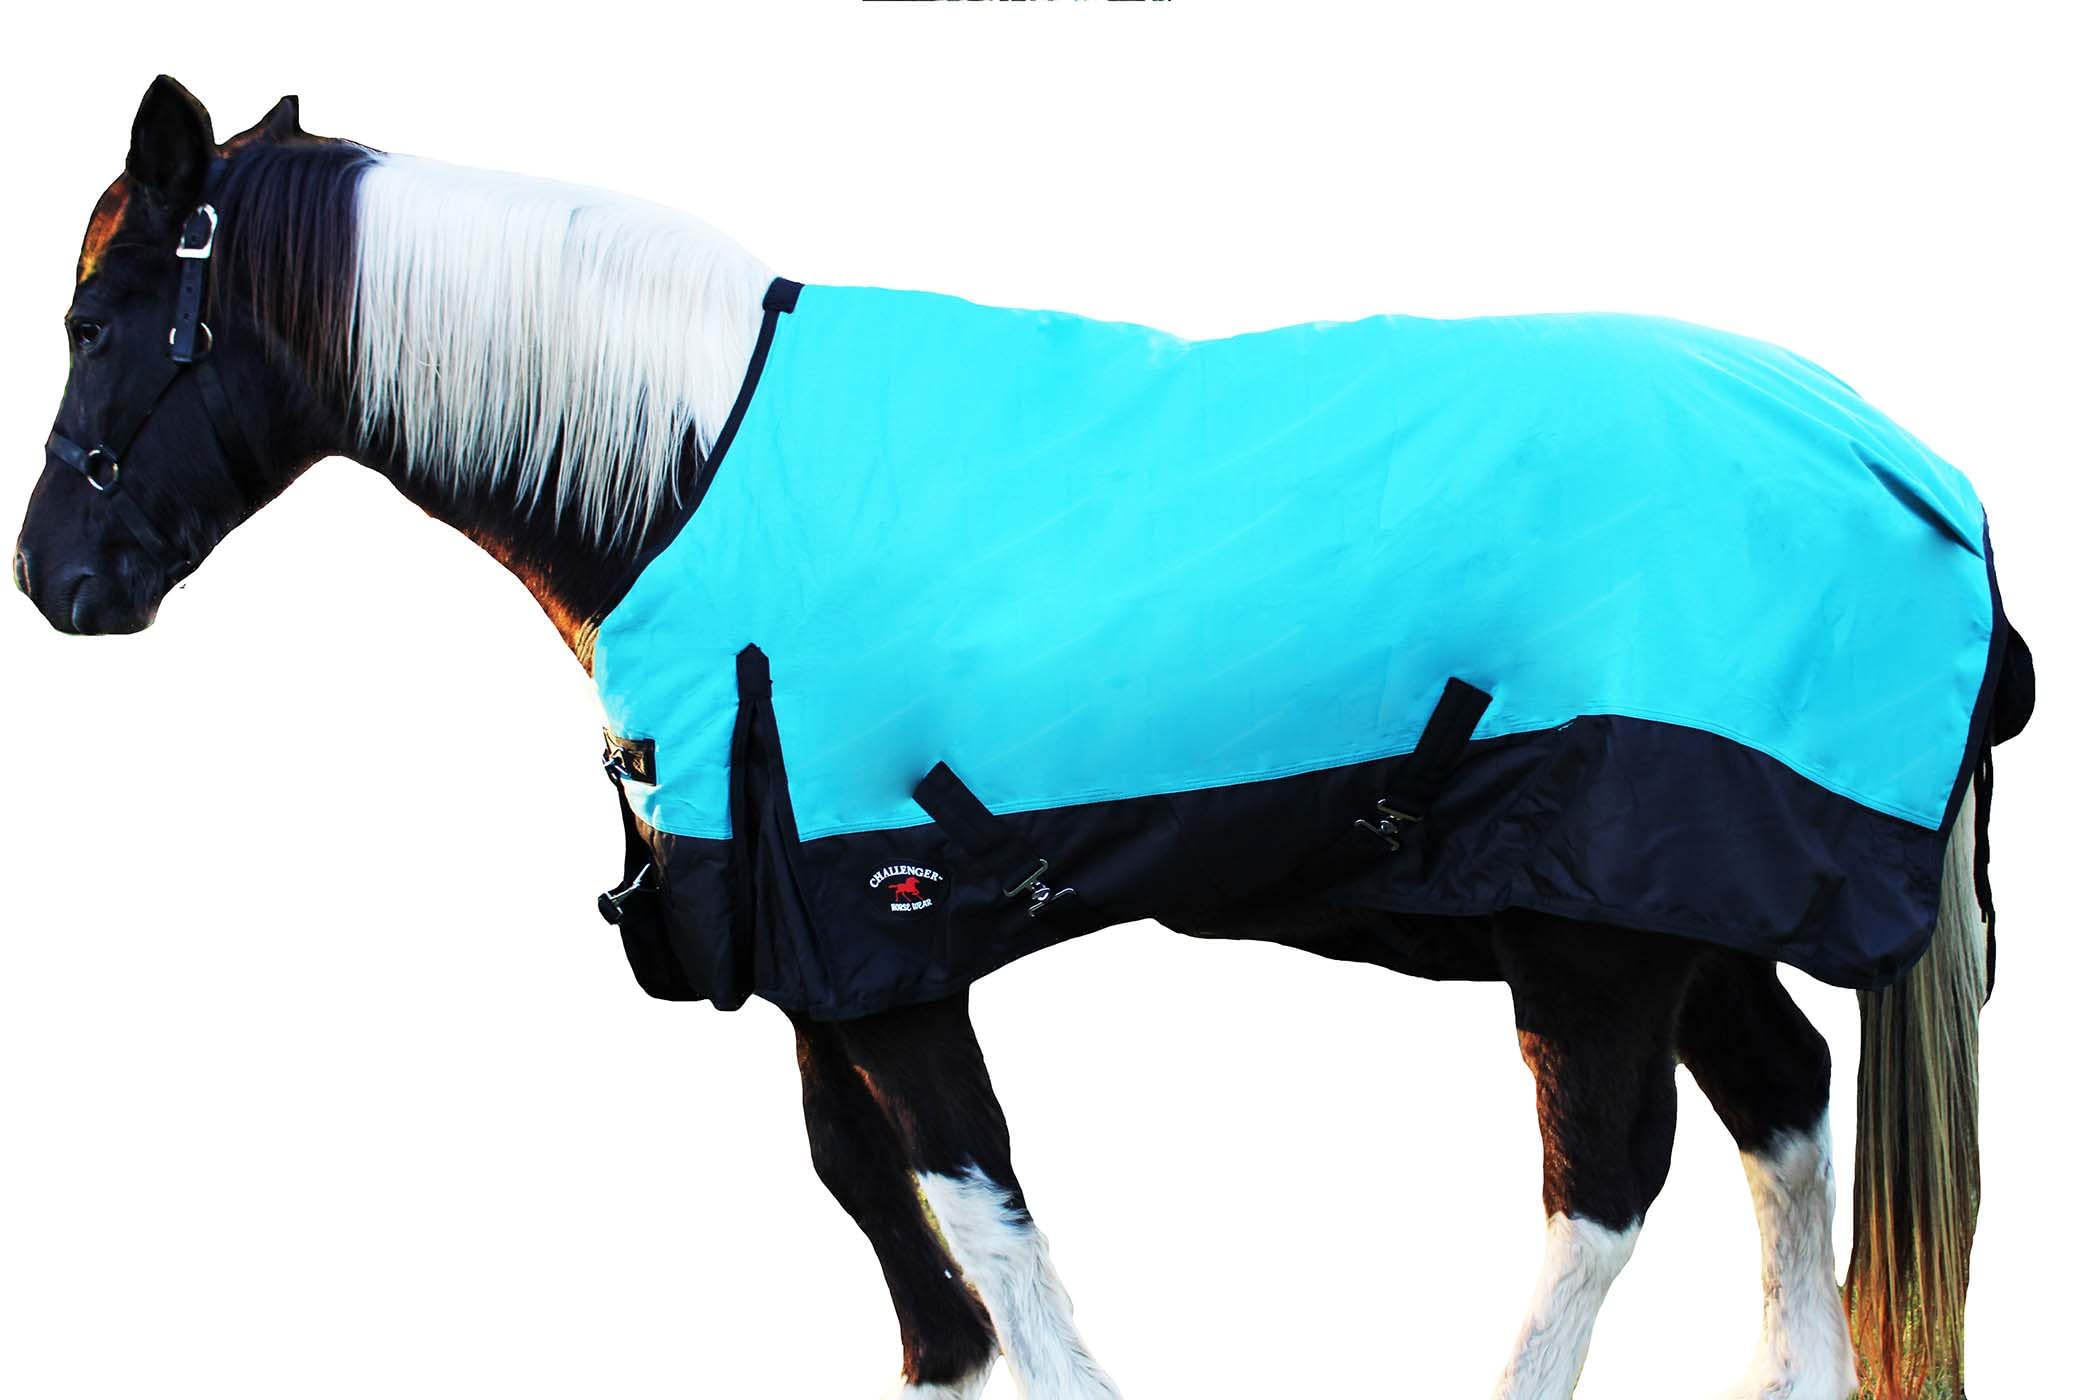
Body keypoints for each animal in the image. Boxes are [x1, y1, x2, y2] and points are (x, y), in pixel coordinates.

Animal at [14, 77, 2031, 1400]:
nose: (56, 578)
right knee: (1785, 1115)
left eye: (102, 316)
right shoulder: (816, 951)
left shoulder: (895, 940)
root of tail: (1905, 466)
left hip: (1597, 936)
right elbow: (886, 1225)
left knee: (1601, 1198)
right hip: (1677, 907)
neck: (689, 466)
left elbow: (975, 1213)